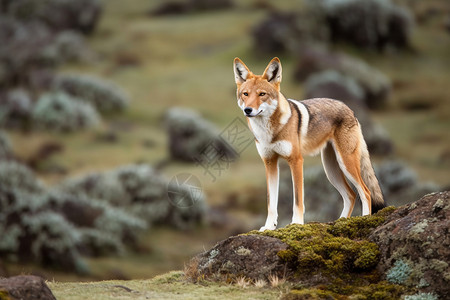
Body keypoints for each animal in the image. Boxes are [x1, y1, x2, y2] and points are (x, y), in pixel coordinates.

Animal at [234, 57, 384, 231]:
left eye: (262, 94)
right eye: (245, 94)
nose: (248, 110)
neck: (269, 132)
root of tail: (349, 109)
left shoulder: (296, 161)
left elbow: (298, 199)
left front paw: (297, 223)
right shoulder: (270, 162)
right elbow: (271, 202)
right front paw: (269, 227)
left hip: (346, 164)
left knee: (365, 192)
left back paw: (363, 218)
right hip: (331, 171)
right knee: (351, 195)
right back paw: (340, 222)